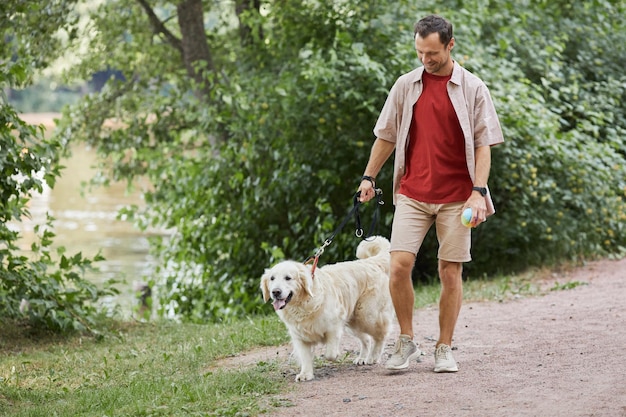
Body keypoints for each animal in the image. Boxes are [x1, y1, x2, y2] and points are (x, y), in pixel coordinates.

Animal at [260, 234, 392, 380]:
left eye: (288, 278)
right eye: (272, 278)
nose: (275, 292)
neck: (303, 305)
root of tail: (370, 262)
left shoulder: (333, 327)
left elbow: (330, 354)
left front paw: (336, 356)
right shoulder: (299, 336)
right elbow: (305, 357)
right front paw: (305, 374)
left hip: (367, 315)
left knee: (381, 334)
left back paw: (373, 357)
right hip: (354, 322)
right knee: (367, 339)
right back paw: (362, 358)